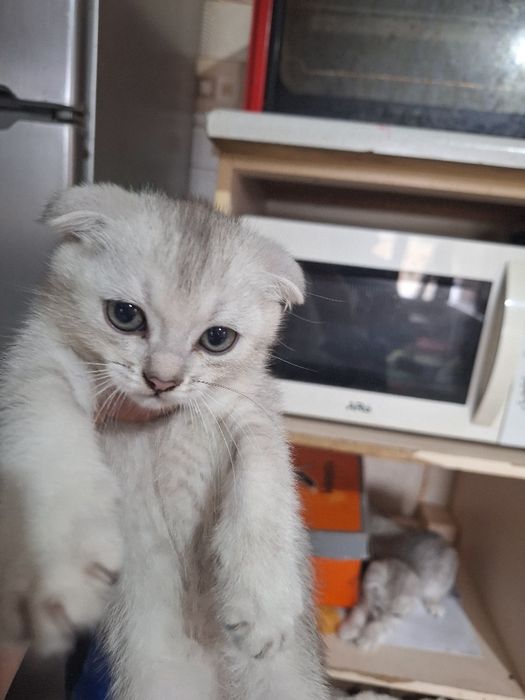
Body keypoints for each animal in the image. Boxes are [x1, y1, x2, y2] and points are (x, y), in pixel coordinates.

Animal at [0, 184, 330, 700]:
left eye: (218, 338)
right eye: (124, 315)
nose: (162, 381)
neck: (157, 421)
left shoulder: (255, 409)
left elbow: (266, 476)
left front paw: (263, 600)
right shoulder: (36, 370)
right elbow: (52, 445)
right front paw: (64, 567)